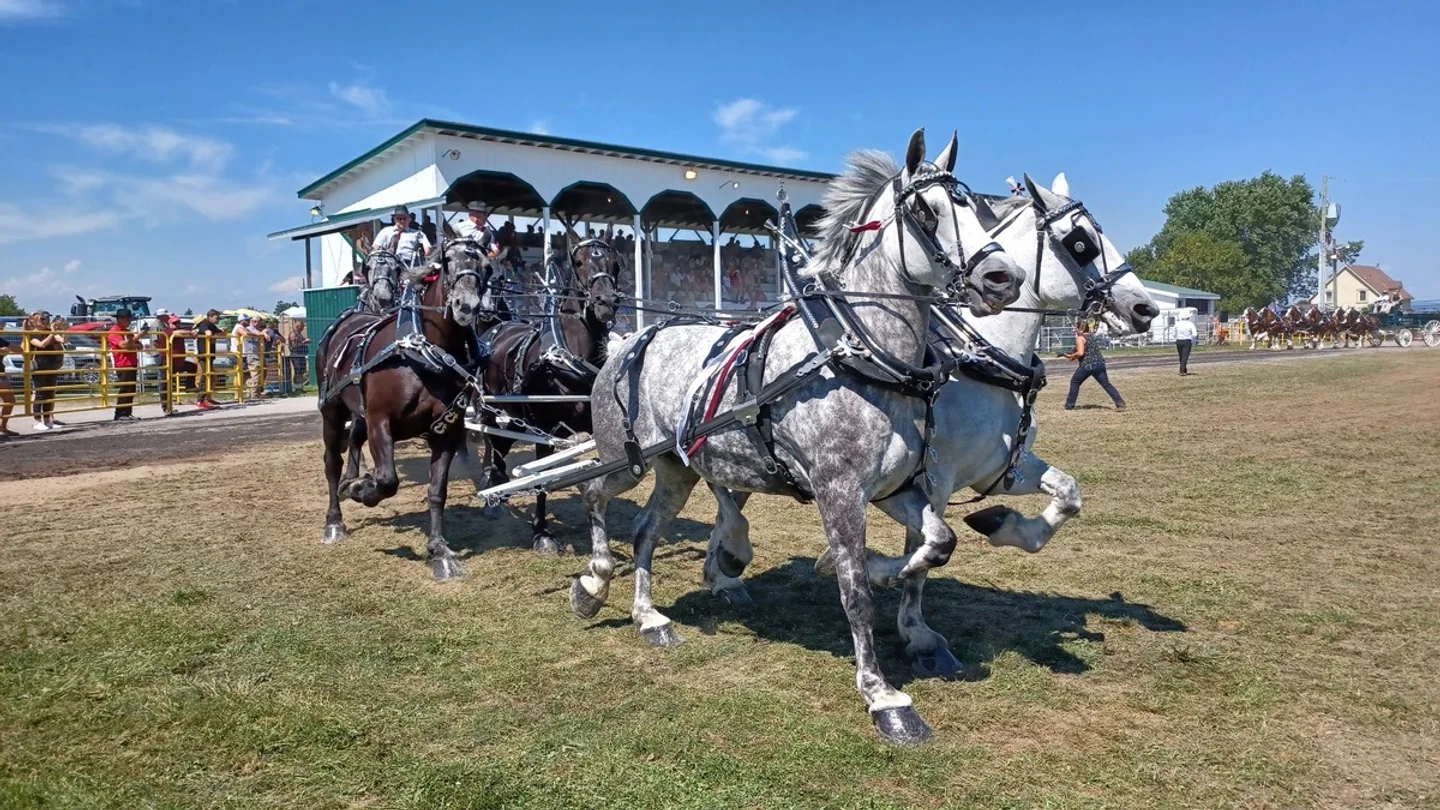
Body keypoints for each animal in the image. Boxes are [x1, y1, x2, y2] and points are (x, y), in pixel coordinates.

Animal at [316, 239, 491, 580]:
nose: (466, 305)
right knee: (332, 463)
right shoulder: (378, 422)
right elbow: (387, 480)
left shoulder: (447, 431)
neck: (423, 353)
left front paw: (440, 551)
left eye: (487, 267)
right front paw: (361, 489)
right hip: (331, 411)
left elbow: (437, 491)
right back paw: (334, 521)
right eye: (447, 261)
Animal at [475, 237, 621, 554]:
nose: (606, 302)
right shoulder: (544, 429)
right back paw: (494, 494)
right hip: (497, 413)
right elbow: (541, 479)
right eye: (579, 262)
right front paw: (542, 534)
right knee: (495, 448)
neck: (567, 357)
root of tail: (496, 327)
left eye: (616, 263)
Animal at [567, 130, 1027, 745]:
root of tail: (625, 341)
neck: (859, 353)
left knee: (644, 530)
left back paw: (650, 618)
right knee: (593, 494)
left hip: (678, 469)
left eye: (978, 207)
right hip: (624, 459)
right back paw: (593, 584)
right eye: (927, 211)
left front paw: (862, 569)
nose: (1005, 279)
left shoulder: (893, 489)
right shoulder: (839, 493)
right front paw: (883, 696)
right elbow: (856, 594)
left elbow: (938, 543)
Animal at [703, 171, 1159, 683]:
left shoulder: (1002, 468)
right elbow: (922, 554)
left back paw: (722, 570)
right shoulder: (932, 480)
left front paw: (1001, 524)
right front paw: (917, 632)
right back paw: (729, 559)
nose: (1146, 308)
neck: (974, 361)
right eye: (1080, 242)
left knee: (727, 490)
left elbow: (1067, 495)